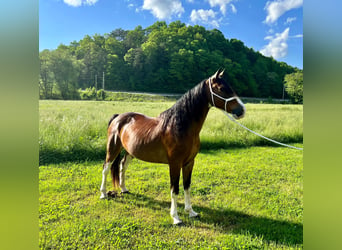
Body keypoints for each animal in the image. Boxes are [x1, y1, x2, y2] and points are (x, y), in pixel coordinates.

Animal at [99, 69, 246, 225]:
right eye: (222, 89)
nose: (242, 110)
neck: (179, 125)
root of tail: (118, 117)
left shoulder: (189, 162)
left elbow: (187, 186)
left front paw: (191, 211)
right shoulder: (175, 164)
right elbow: (174, 189)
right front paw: (175, 217)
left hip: (129, 152)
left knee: (122, 166)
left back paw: (124, 189)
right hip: (113, 148)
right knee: (106, 168)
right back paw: (103, 194)